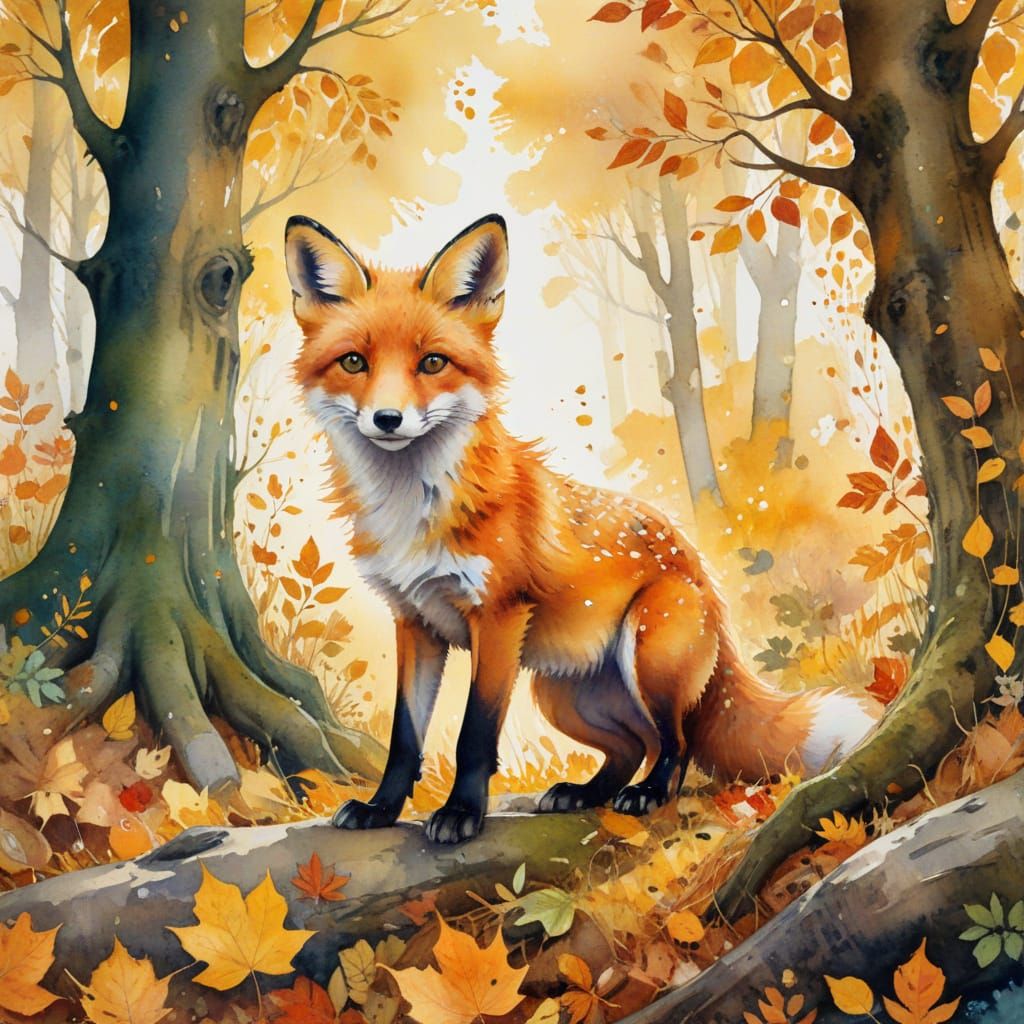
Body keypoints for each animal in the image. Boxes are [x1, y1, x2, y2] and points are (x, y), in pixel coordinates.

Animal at [285, 212, 879, 844]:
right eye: (354, 362)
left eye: (432, 363)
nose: (388, 419)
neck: (415, 510)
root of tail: (700, 572)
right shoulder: (415, 621)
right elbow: (405, 737)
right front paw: (381, 808)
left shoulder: (499, 617)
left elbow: (475, 735)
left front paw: (462, 813)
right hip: (559, 693)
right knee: (632, 745)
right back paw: (586, 793)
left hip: (647, 654)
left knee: (677, 743)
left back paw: (646, 795)